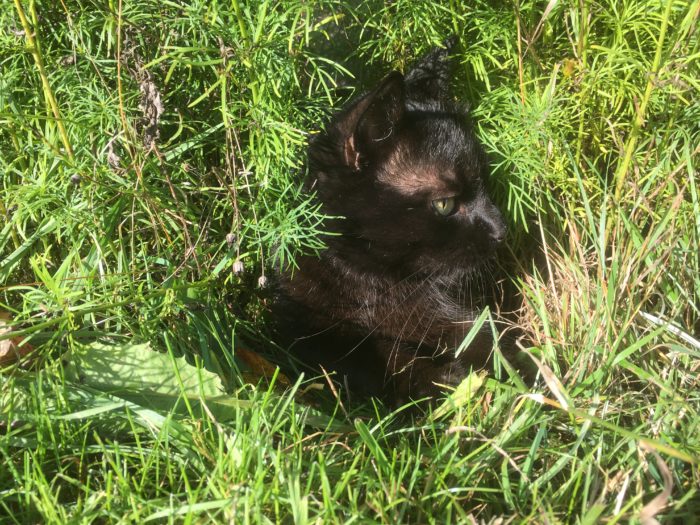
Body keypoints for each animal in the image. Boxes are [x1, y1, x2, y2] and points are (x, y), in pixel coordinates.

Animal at [274, 41, 508, 407]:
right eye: (445, 204)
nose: (501, 229)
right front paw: (440, 381)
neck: (378, 288)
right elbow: (370, 354)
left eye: (486, 184)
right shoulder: (300, 325)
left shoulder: (467, 324)